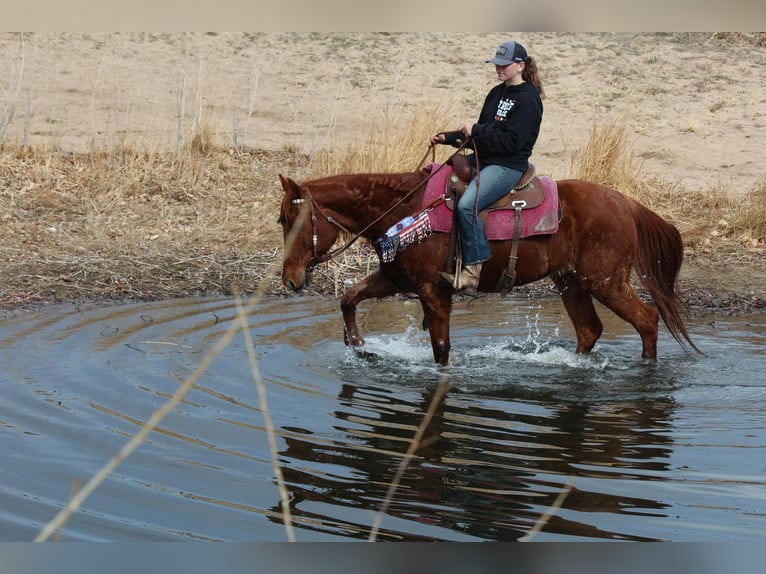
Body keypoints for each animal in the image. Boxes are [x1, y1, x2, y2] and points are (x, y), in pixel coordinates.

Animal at [277, 168, 701, 366]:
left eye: (291, 220)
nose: (290, 280)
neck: (405, 210)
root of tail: (626, 203)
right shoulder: (394, 278)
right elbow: (348, 298)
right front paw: (359, 346)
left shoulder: (433, 290)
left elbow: (441, 349)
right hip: (571, 282)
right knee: (589, 330)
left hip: (605, 281)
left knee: (647, 320)